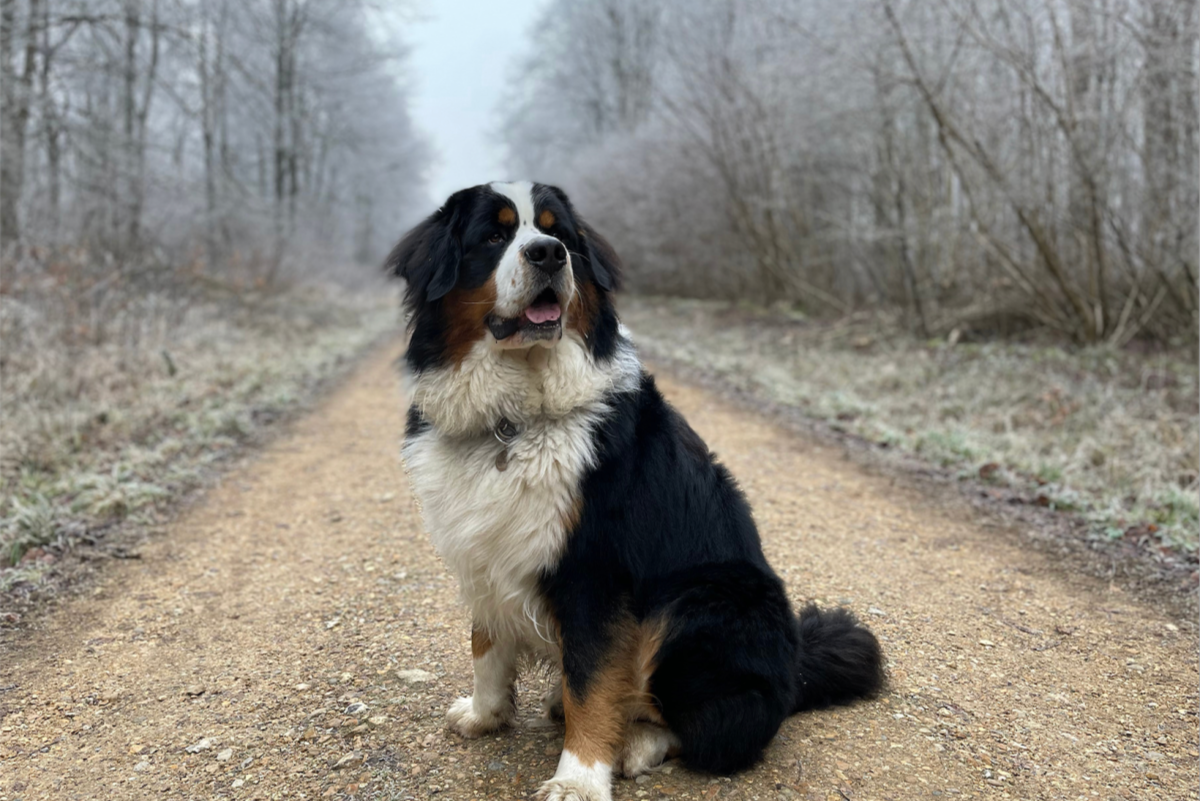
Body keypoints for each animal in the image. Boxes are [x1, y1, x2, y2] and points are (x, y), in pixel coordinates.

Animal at [388, 181, 888, 801]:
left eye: (560, 234)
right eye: (493, 236)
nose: (548, 255)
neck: (514, 418)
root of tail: (795, 671)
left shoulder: (595, 573)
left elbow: (593, 683)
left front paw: (578, 778)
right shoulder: (482, 548)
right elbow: (487, 645)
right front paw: (484, 714)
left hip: (698, 600)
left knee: (708, 727)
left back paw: (634, 741)